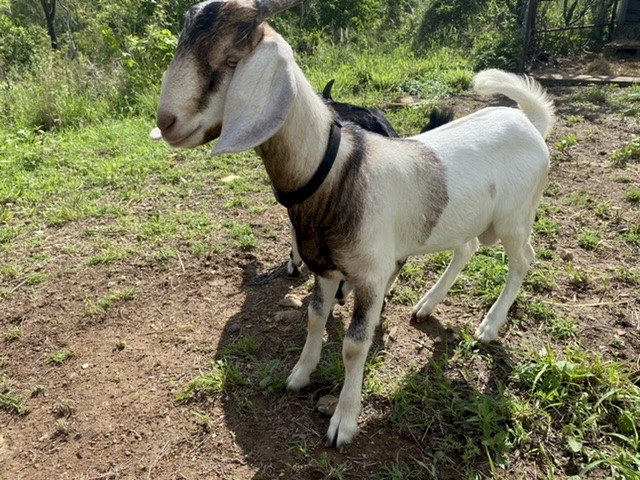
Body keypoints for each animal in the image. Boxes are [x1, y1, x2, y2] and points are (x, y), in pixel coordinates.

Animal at [154, 0, 555, 449]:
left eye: (231, 60)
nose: (166, 122)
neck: (337, 172)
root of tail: (530, 124)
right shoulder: (327, 268)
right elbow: (314, 317)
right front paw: (299, 374)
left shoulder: (370, 274)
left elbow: (353, 345)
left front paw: (343, 422)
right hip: (464, 217)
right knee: (465, 248)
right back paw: (427, 305)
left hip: (514, 218)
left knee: (523, 260)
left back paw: (488, 326)